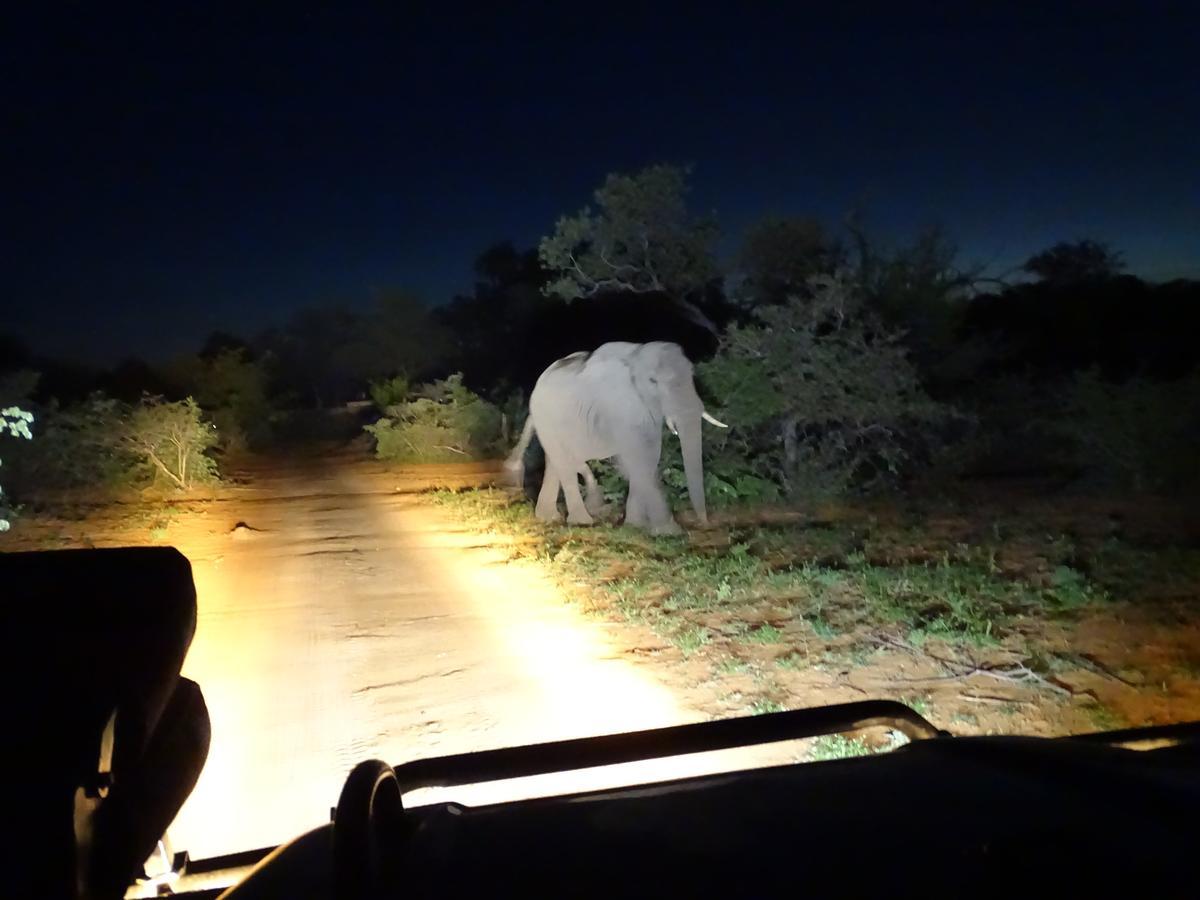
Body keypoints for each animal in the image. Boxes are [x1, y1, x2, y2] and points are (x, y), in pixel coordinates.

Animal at [504, 343, 724, 535]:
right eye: (653, 381)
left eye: (692, 376)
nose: (704, 523)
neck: (637, 356)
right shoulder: (618, 408)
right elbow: (636, 460)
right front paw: (670, 532)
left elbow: (649, 457)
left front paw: (635, 526)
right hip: (548, 420)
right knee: (564, 463)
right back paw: (582, 522)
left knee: (556, 463)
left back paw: (549, 517)